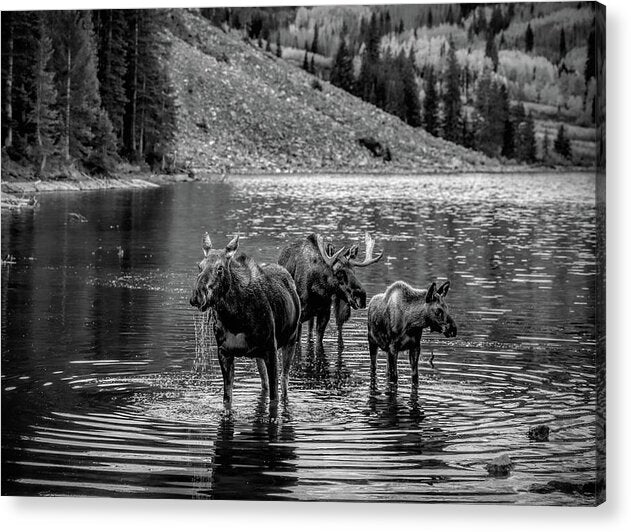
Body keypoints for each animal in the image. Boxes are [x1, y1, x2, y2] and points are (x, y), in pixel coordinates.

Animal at [190, 231, 302, 406]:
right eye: (199, 266)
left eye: (220, 268)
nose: (197, 295)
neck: (235, 318)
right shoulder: (224, 352)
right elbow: (227, 399)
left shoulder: (271, 349)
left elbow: (274, 397)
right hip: (259, 355)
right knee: (265, 384)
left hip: (291, 340)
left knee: (284, 382)